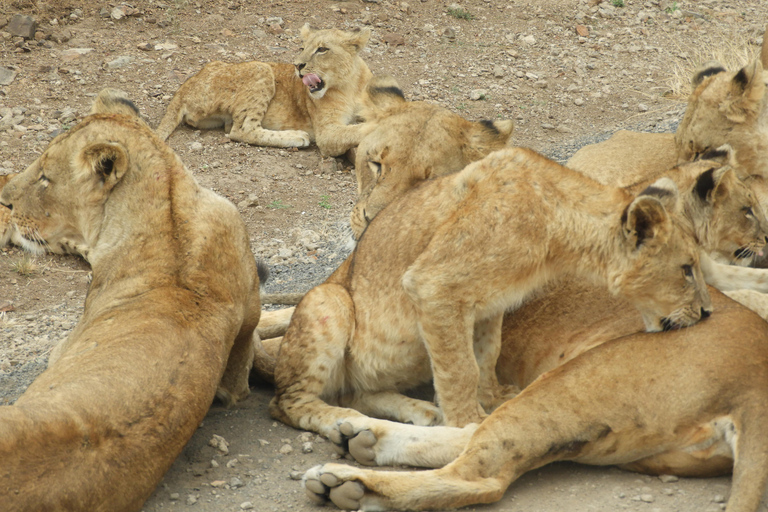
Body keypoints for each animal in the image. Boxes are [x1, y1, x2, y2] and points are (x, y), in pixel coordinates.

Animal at [154, 24, 400, 156]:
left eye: (322, 49)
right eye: (303, 47)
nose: (297, 65)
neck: (350, 84)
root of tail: (185, 85)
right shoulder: (327, 134)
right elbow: (359, 129)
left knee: (231, 127)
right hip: (261, 68)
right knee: (241, 130)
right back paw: (296, 137)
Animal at [268, 145, 712, 440]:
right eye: (687, 269)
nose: (708, 313)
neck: (558, 229)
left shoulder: (488, 303)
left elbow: (485, 355)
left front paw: (493, 397)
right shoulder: (434, 284)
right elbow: (460, 368)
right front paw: (468, 422)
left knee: (358, 391)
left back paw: (419, 411)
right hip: (329, 300)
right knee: (289, 402)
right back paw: (351, 425)